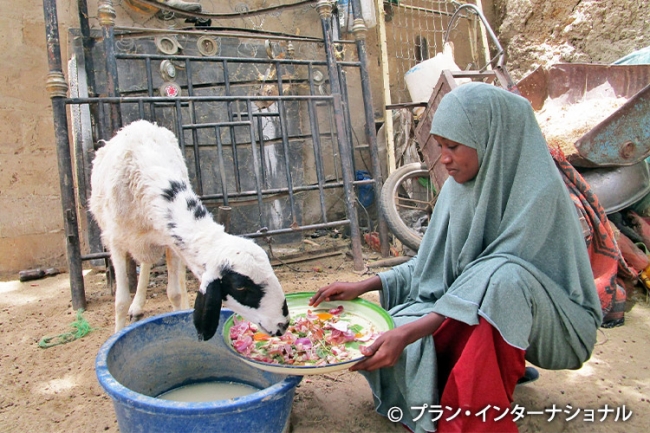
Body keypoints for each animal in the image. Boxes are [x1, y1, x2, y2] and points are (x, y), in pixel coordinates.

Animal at [88, 120, 288, 340]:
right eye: (240, 286)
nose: (283, 324)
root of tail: (141, 123)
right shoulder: (115, 242)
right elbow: (121, 301)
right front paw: (117, 331)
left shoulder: (170, 241)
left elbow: (174, 293)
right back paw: (137, 306)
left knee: (161, 271)